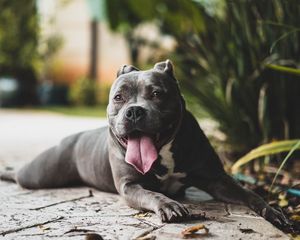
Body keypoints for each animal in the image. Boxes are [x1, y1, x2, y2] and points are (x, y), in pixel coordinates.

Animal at [1, 59, 290, 227]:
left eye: (157, 94)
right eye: (118, 97)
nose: (134, 111)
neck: (163, 153)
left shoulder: (217, 179)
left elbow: (248, 193)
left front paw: (272, 211)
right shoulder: (130, 186)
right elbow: (152, 193)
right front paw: (169, 205)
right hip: (40, 174)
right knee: (20, 175)